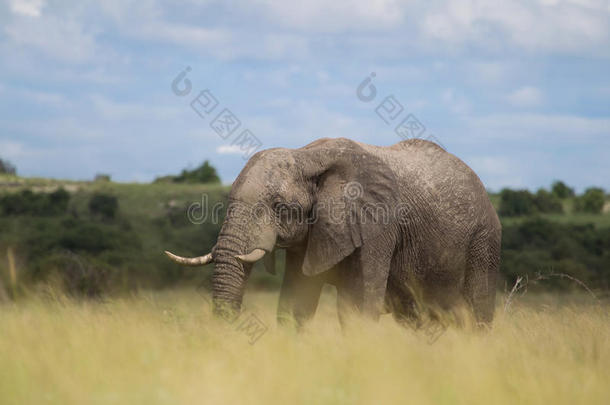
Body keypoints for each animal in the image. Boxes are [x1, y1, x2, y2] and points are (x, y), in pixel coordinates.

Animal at [164, 137, 502, 326]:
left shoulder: (377, 224)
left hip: (484, 240)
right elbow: (294, 304)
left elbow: (359, 308)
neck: (308, 155)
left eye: (279, 206)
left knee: (476, 315)